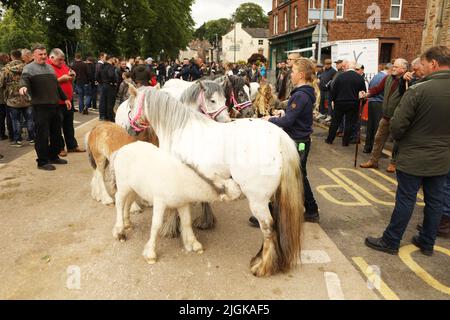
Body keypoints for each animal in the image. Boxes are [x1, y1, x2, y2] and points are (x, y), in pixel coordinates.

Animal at [109, 141, 239, 264]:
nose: (240, 189)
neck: (180, 179)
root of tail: (120, 150)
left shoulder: (183, 204)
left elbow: (187, 222)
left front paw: (194, 244)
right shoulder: (160, 203)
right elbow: (156, 225)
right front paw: (150, 254)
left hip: (134, 189)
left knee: (128, 202)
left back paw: (127, 224)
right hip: (123, 186)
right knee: (119, 200)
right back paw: (120, 232)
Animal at [125, 88, 304, 278]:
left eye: (130, 105)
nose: (129, 129)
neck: (177, 129)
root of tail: (280, 137)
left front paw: (171, 229)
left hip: (258, 200)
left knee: (268, 227)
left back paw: (263, 267)